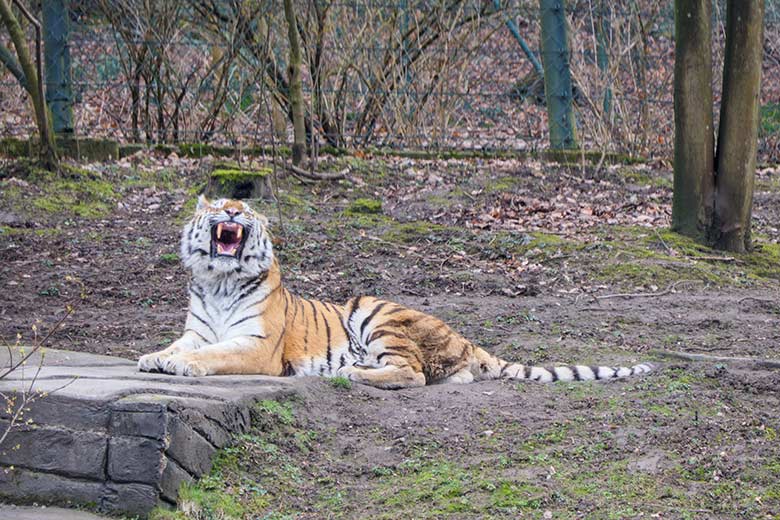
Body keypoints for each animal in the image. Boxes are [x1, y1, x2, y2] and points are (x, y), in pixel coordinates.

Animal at [139, 197, 652, 388]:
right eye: (218, 206)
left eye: (244, 210)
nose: (231, 212)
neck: (219, 279)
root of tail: (466, 339)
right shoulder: (198, 330)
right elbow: (181, 344)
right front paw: (154, 357)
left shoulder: (257, 347)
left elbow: (213, 355)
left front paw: (181, 365)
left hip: (374, 312)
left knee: (413, 374)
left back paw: (348, 374)